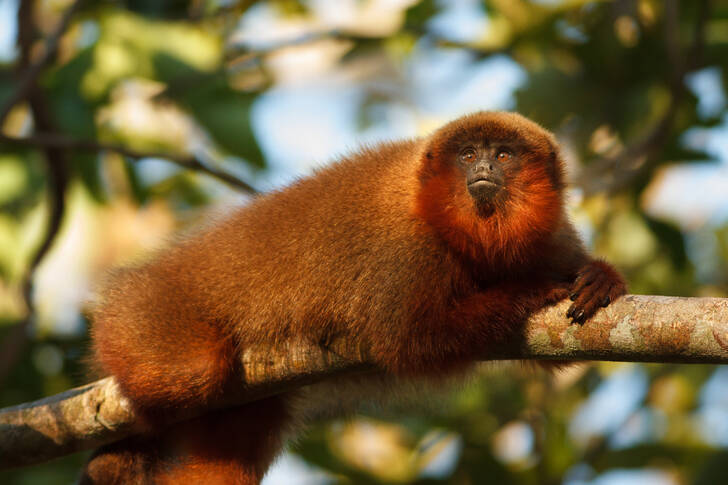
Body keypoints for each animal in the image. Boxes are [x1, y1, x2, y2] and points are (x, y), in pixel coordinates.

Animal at [79, 111, 624, 482]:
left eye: (504, 154)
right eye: (468, 154)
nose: (485, 165)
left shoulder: (551, 236)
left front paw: (601, 277)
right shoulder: (408, 248)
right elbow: (410, 340)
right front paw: (528, 289)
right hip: (144, 316)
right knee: (193, 371)